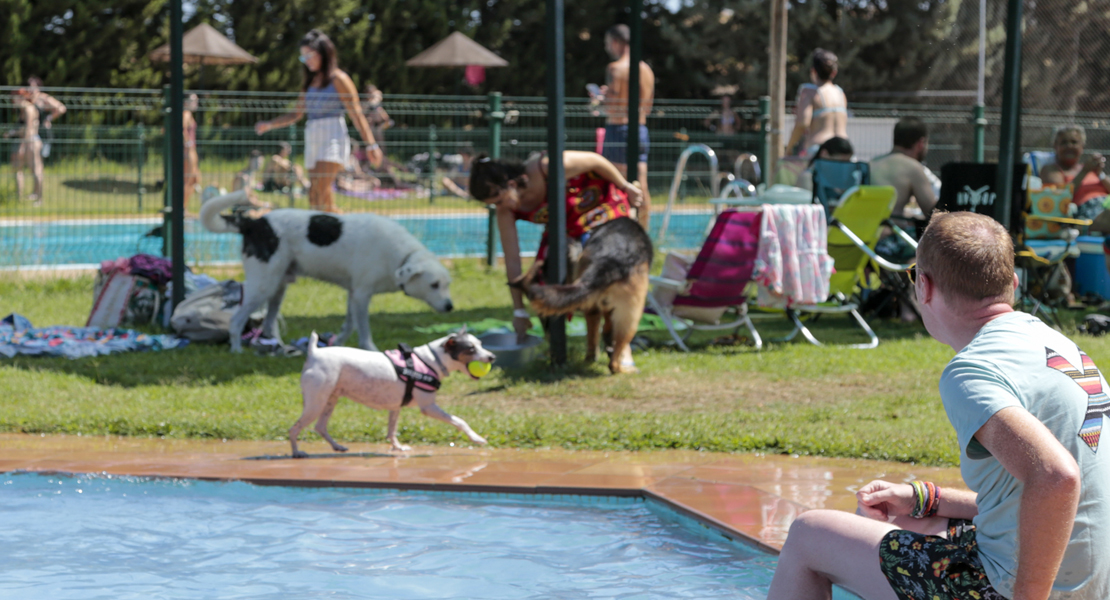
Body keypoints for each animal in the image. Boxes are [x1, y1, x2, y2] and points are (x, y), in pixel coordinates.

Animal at [197, 190, 452, 350]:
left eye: (447, 284)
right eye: (434, 285)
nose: (450, 307)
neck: (401, 256)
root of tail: (254, 223)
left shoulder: (353, 295)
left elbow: (349, 325)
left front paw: (337, 345)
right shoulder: (362, 294)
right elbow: (363, 329)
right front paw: (370, 349)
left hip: (278, 287)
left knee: (268, 325)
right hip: (263, 285)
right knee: (236, 321)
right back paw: (237, 350)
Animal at [290, 328, 495, 454]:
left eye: (480, 343)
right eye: (470, 348)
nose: (492, 357)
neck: (431, 360)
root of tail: (314, 353)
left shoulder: (395, 407)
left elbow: (391, 430)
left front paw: (397, 448)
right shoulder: (429, 407)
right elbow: (460, 421)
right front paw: (476, 438)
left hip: (329, 400)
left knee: (320, 426)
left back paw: (337, 447)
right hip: (316, 403)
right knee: (295, 429)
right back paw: (297, 453)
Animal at [517, 217, 648, 372]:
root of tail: (613, 256)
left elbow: (602, 328)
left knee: (593, 332)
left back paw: (592, 357)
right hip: (632, 316)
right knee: (617, 351)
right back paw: (620, 369)